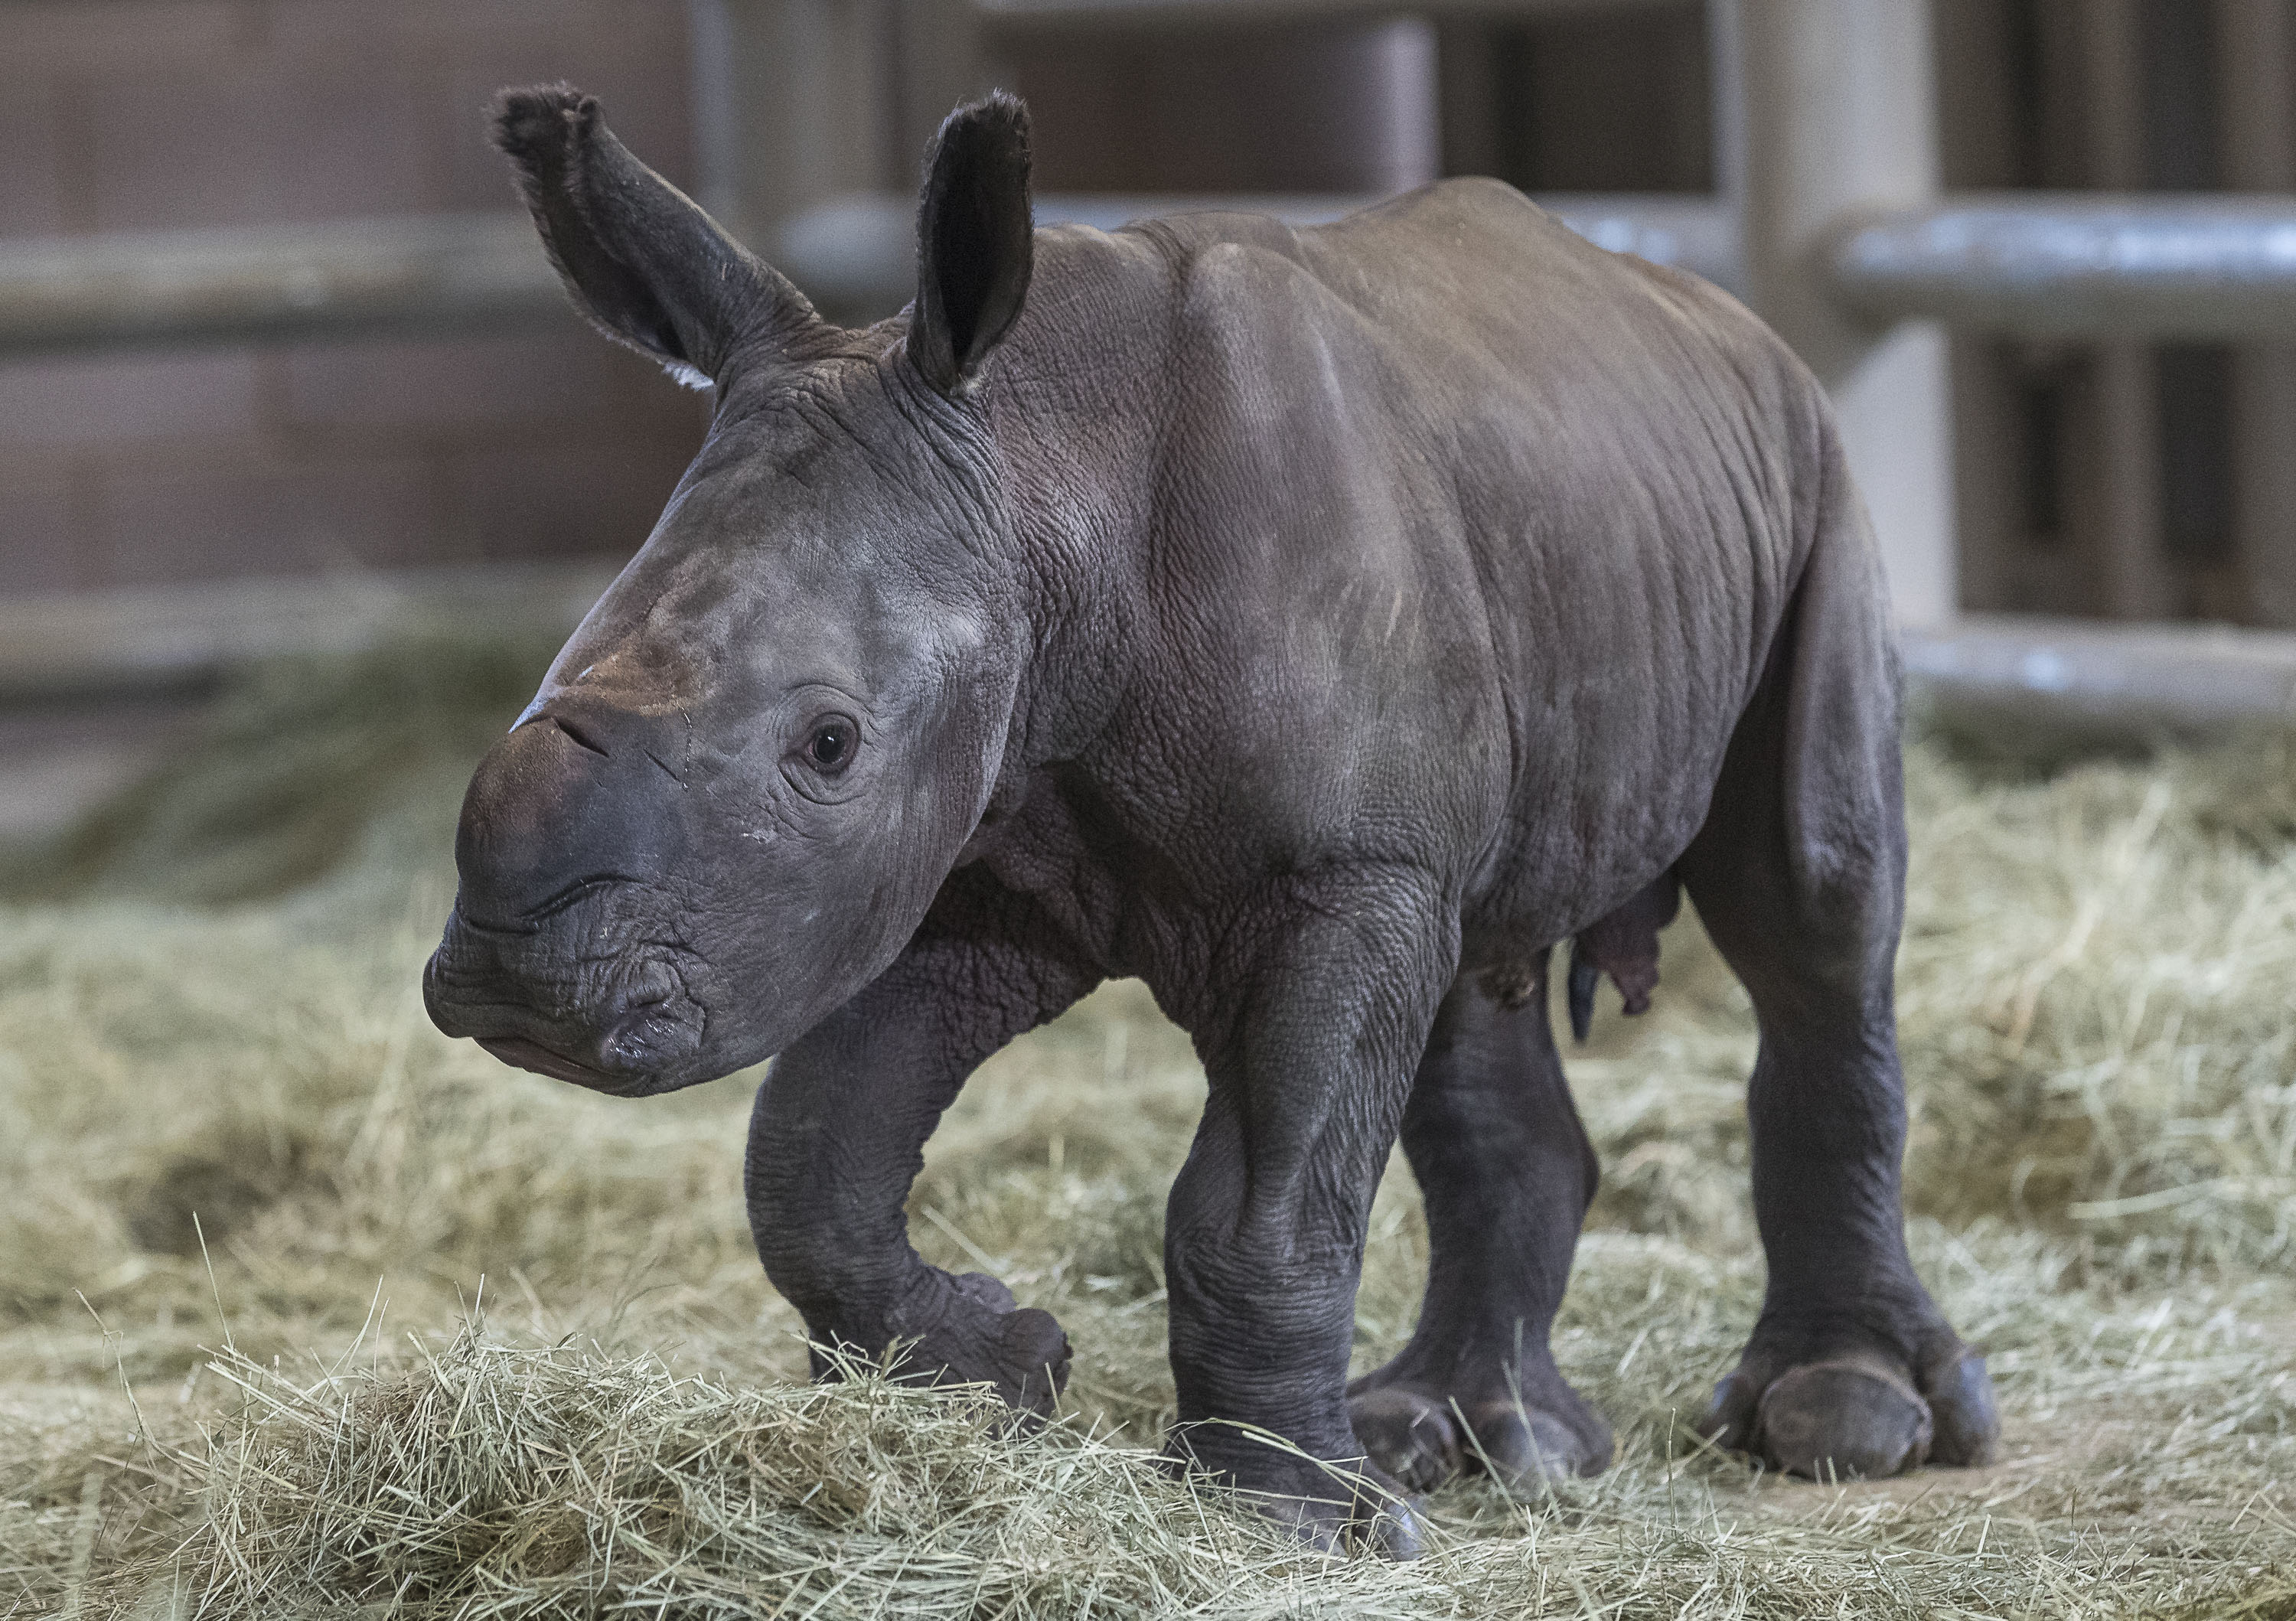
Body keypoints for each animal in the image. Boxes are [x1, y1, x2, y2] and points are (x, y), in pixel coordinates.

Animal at [427, 85, 1993, 1543]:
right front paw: (998, 1372)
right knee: (1470, 977)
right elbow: (811, 1147)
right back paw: (1478, 1442)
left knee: (1813, 905)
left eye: (827, 743)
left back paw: (1840, 1422)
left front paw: (1293, 1522)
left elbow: (1261, 1206)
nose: (515, 983)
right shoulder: (978, 861)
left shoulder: (1331, 870)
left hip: (1811, 487)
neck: (1044, 473)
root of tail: (1717, 316)